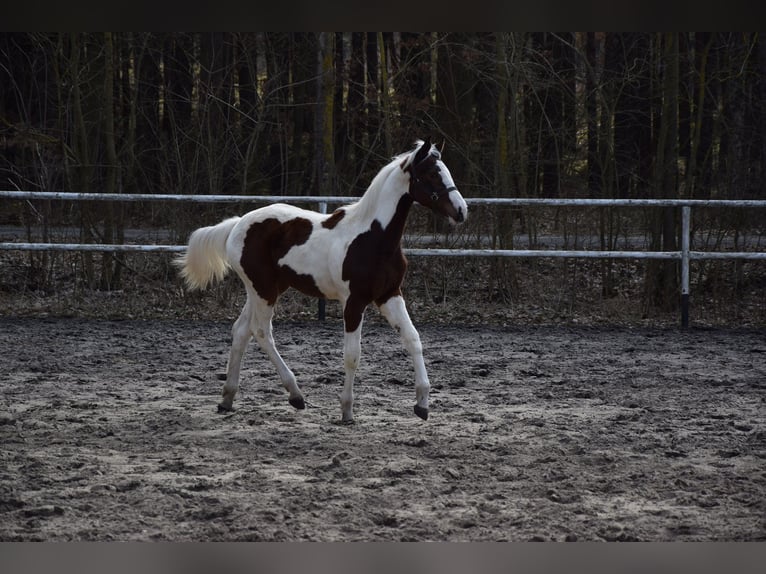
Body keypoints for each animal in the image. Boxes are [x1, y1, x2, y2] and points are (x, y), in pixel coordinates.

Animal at [174, 139, 467, 422]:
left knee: (241, 331)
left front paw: (422, 404)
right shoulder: (354, 302)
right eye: (432, 173)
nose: (462, 211)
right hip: (263, 289)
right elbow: (352, 355)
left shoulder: (390, 295)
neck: (373, 238)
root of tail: (237, 224)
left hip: (263, 289)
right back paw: (295, 395)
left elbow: (413, 339)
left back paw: (227, 399)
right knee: (261, 331)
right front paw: (347, 411)